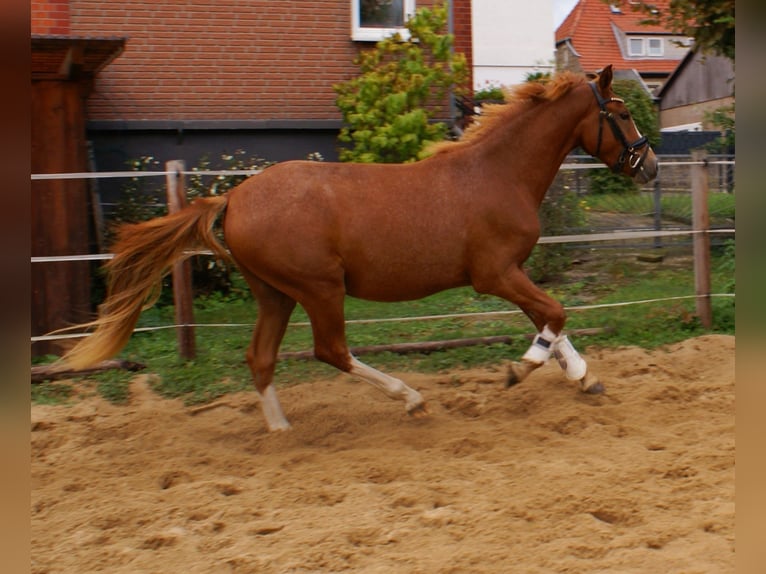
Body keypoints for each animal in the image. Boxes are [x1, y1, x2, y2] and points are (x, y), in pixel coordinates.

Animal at [60, 66, 660, 432]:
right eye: (623, 112)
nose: (649, 165)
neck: (495, 173)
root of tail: (232, 197)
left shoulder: (511, 271)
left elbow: (550, 318)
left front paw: (584, 377)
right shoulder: (494, 273)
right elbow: (554, 314)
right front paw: (520, 370)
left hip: (275, 293)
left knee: (261, 357)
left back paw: (280, 429)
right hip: (319, 288)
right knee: (331, 351)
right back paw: (410, 398)